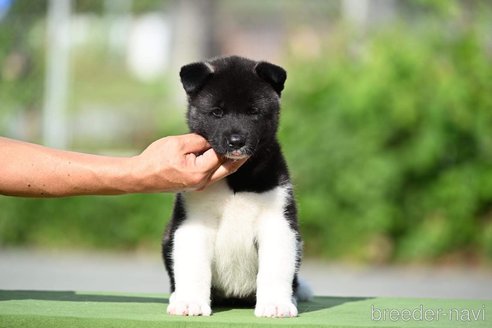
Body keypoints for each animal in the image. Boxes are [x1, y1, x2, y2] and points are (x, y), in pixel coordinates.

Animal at [164, 55, 312, 318]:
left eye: (253, 111)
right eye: (217, 112)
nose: (236, 141)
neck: (237, 178)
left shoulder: (278, 223)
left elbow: (275, 269)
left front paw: (276, 304)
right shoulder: (193, 222)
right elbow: (193, 266)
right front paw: (190, 302)